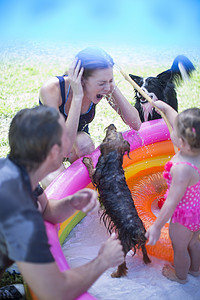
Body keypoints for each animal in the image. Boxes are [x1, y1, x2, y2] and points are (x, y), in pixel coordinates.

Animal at [82, 123, 150, 276]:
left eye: (111, 133)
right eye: (117, 132)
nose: (112, 124)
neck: (113, 162)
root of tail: (137, 231)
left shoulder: (96, 175)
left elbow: (91, 170)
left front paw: (87, 160)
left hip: (122, 244)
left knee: (122, 263)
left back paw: (116, 273)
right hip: (142, 241)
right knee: (144, 249)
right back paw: (147, 261)